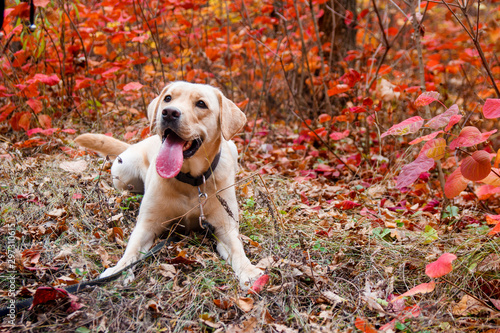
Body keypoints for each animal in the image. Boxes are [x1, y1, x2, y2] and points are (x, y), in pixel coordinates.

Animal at [75, 81, 262, 286]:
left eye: (201, 104)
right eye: (168, 98)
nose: (169, 112)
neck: (192, 181)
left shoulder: (225, 226)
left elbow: (238, 248)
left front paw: (249, 271)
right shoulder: (147, 224)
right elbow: (132, 248)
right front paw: (119, 270)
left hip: (233, 147)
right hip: (122, 173)